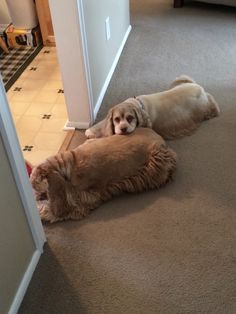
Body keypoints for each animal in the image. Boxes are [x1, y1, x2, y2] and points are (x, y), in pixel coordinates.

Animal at [30, 128, 176, 223]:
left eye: (34, 186)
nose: (36, 195)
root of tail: (162, 141)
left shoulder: (79, 201)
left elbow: (51, 209)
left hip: (156, 163)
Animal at [85, 74, 220, 139]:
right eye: (116, 119)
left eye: (130, 118)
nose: (123, 129)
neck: (139, 104)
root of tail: (198, 86)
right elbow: (103, 123)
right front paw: (91, 131)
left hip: (204, 107)